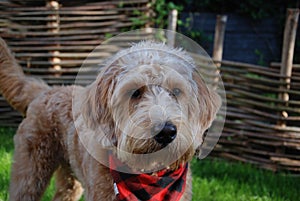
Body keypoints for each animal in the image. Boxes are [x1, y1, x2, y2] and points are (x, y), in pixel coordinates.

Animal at [0, 38, 220, 201]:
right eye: (135, 92)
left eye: (176, 91)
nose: (166, 132)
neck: (150, 176)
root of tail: (46, 91)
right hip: (30, 173)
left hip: (69, 178)